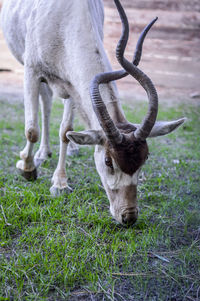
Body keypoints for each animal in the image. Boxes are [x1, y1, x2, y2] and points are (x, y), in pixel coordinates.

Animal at [0, 0, 186, 224]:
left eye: (146, 158)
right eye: (108, 161)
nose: (128, 216)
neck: (66, 18)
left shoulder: (72, 85)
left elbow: (65, 131)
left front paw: (60, 184)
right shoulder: (32, 71)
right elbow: (31, 130)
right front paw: (26, 168)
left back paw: (67, 149)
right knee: (45, 103)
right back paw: (41, 154)